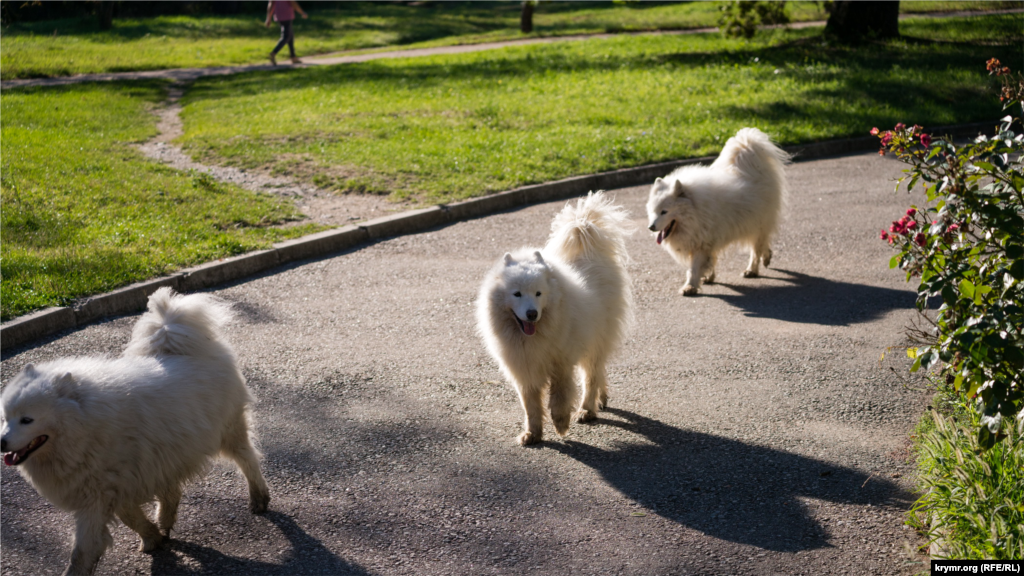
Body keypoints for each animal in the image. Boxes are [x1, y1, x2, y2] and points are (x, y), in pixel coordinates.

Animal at [0, 286, 268, 573]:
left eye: (27, 420)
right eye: (5, 418)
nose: (1, 442)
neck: (84, 425)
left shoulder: (98, 495)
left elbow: (82, 551)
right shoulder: (116, 485)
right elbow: (131, 518)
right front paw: (152, 537)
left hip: (228, 430)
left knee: (248, 460)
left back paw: (259, 498)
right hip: (168, 453)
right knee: (172, 491)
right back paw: (165, 520)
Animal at [473, 191, 630, 444]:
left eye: (538, 293)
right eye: (517, 294)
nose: (532, 313)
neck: (532, 337)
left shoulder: (561, 363)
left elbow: (559, 396)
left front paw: (561, 423)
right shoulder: (525, 370)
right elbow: (530, 405)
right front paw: (532, 433)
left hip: (596, 339)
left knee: (591, 375)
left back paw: (587, 409)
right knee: (598, 372)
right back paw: (602, 399)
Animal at [647, 127, 790, 293]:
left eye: (664, 211)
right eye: (653, 211)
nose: (651, 227)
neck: (695, 210)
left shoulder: (701, 243)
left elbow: (694, 268)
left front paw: (690, 287)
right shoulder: (709, 239)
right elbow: (710, 260)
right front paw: (708, 277)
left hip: (758, 223)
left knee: (756, 249)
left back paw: (751, 270)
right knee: (762, 245)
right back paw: (766, 258)